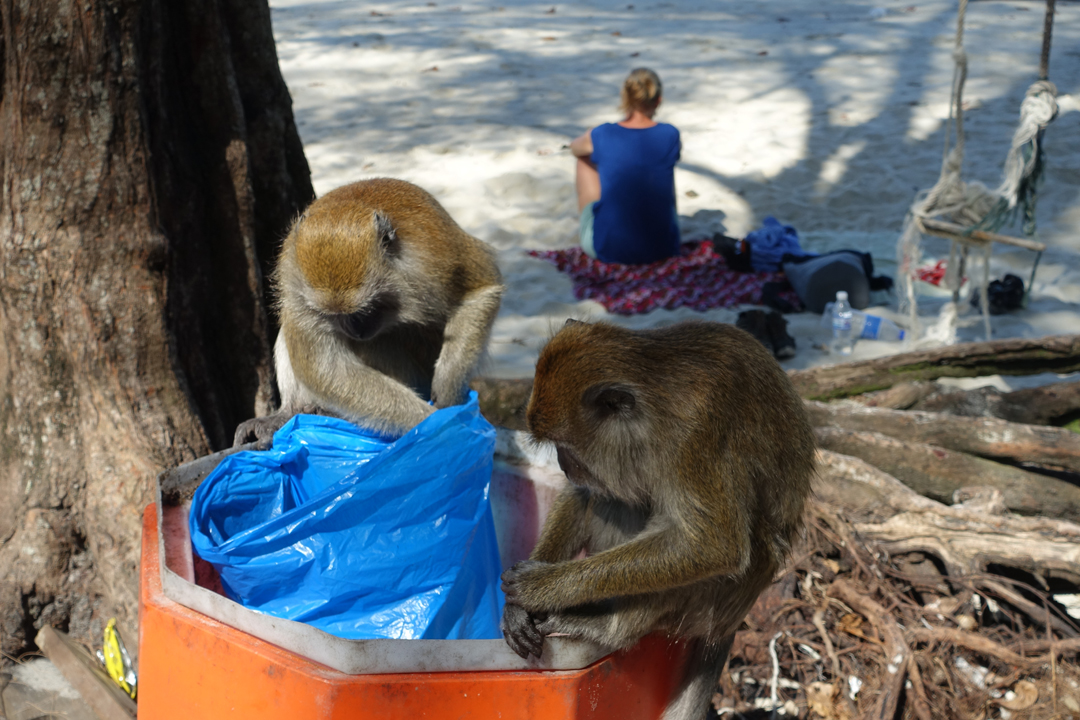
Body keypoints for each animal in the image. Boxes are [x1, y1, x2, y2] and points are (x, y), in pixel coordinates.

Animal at [234, 178, 504, 445]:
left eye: (365, 309)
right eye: (333, 315)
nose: (355, 330)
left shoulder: (433, 259)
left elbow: (482, 289)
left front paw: (448, 394)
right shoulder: (295, 284)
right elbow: (327, 370)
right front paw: (433, 425)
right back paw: (290, 412)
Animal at [501, 319, 815, 720]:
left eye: (564, 445)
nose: (563, 464)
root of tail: (729, 622)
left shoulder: (694, 440)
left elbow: (713, 546)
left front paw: (540, 588)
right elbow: (586, 495)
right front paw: (517, 609)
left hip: (709, 606)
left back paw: (606, 628)